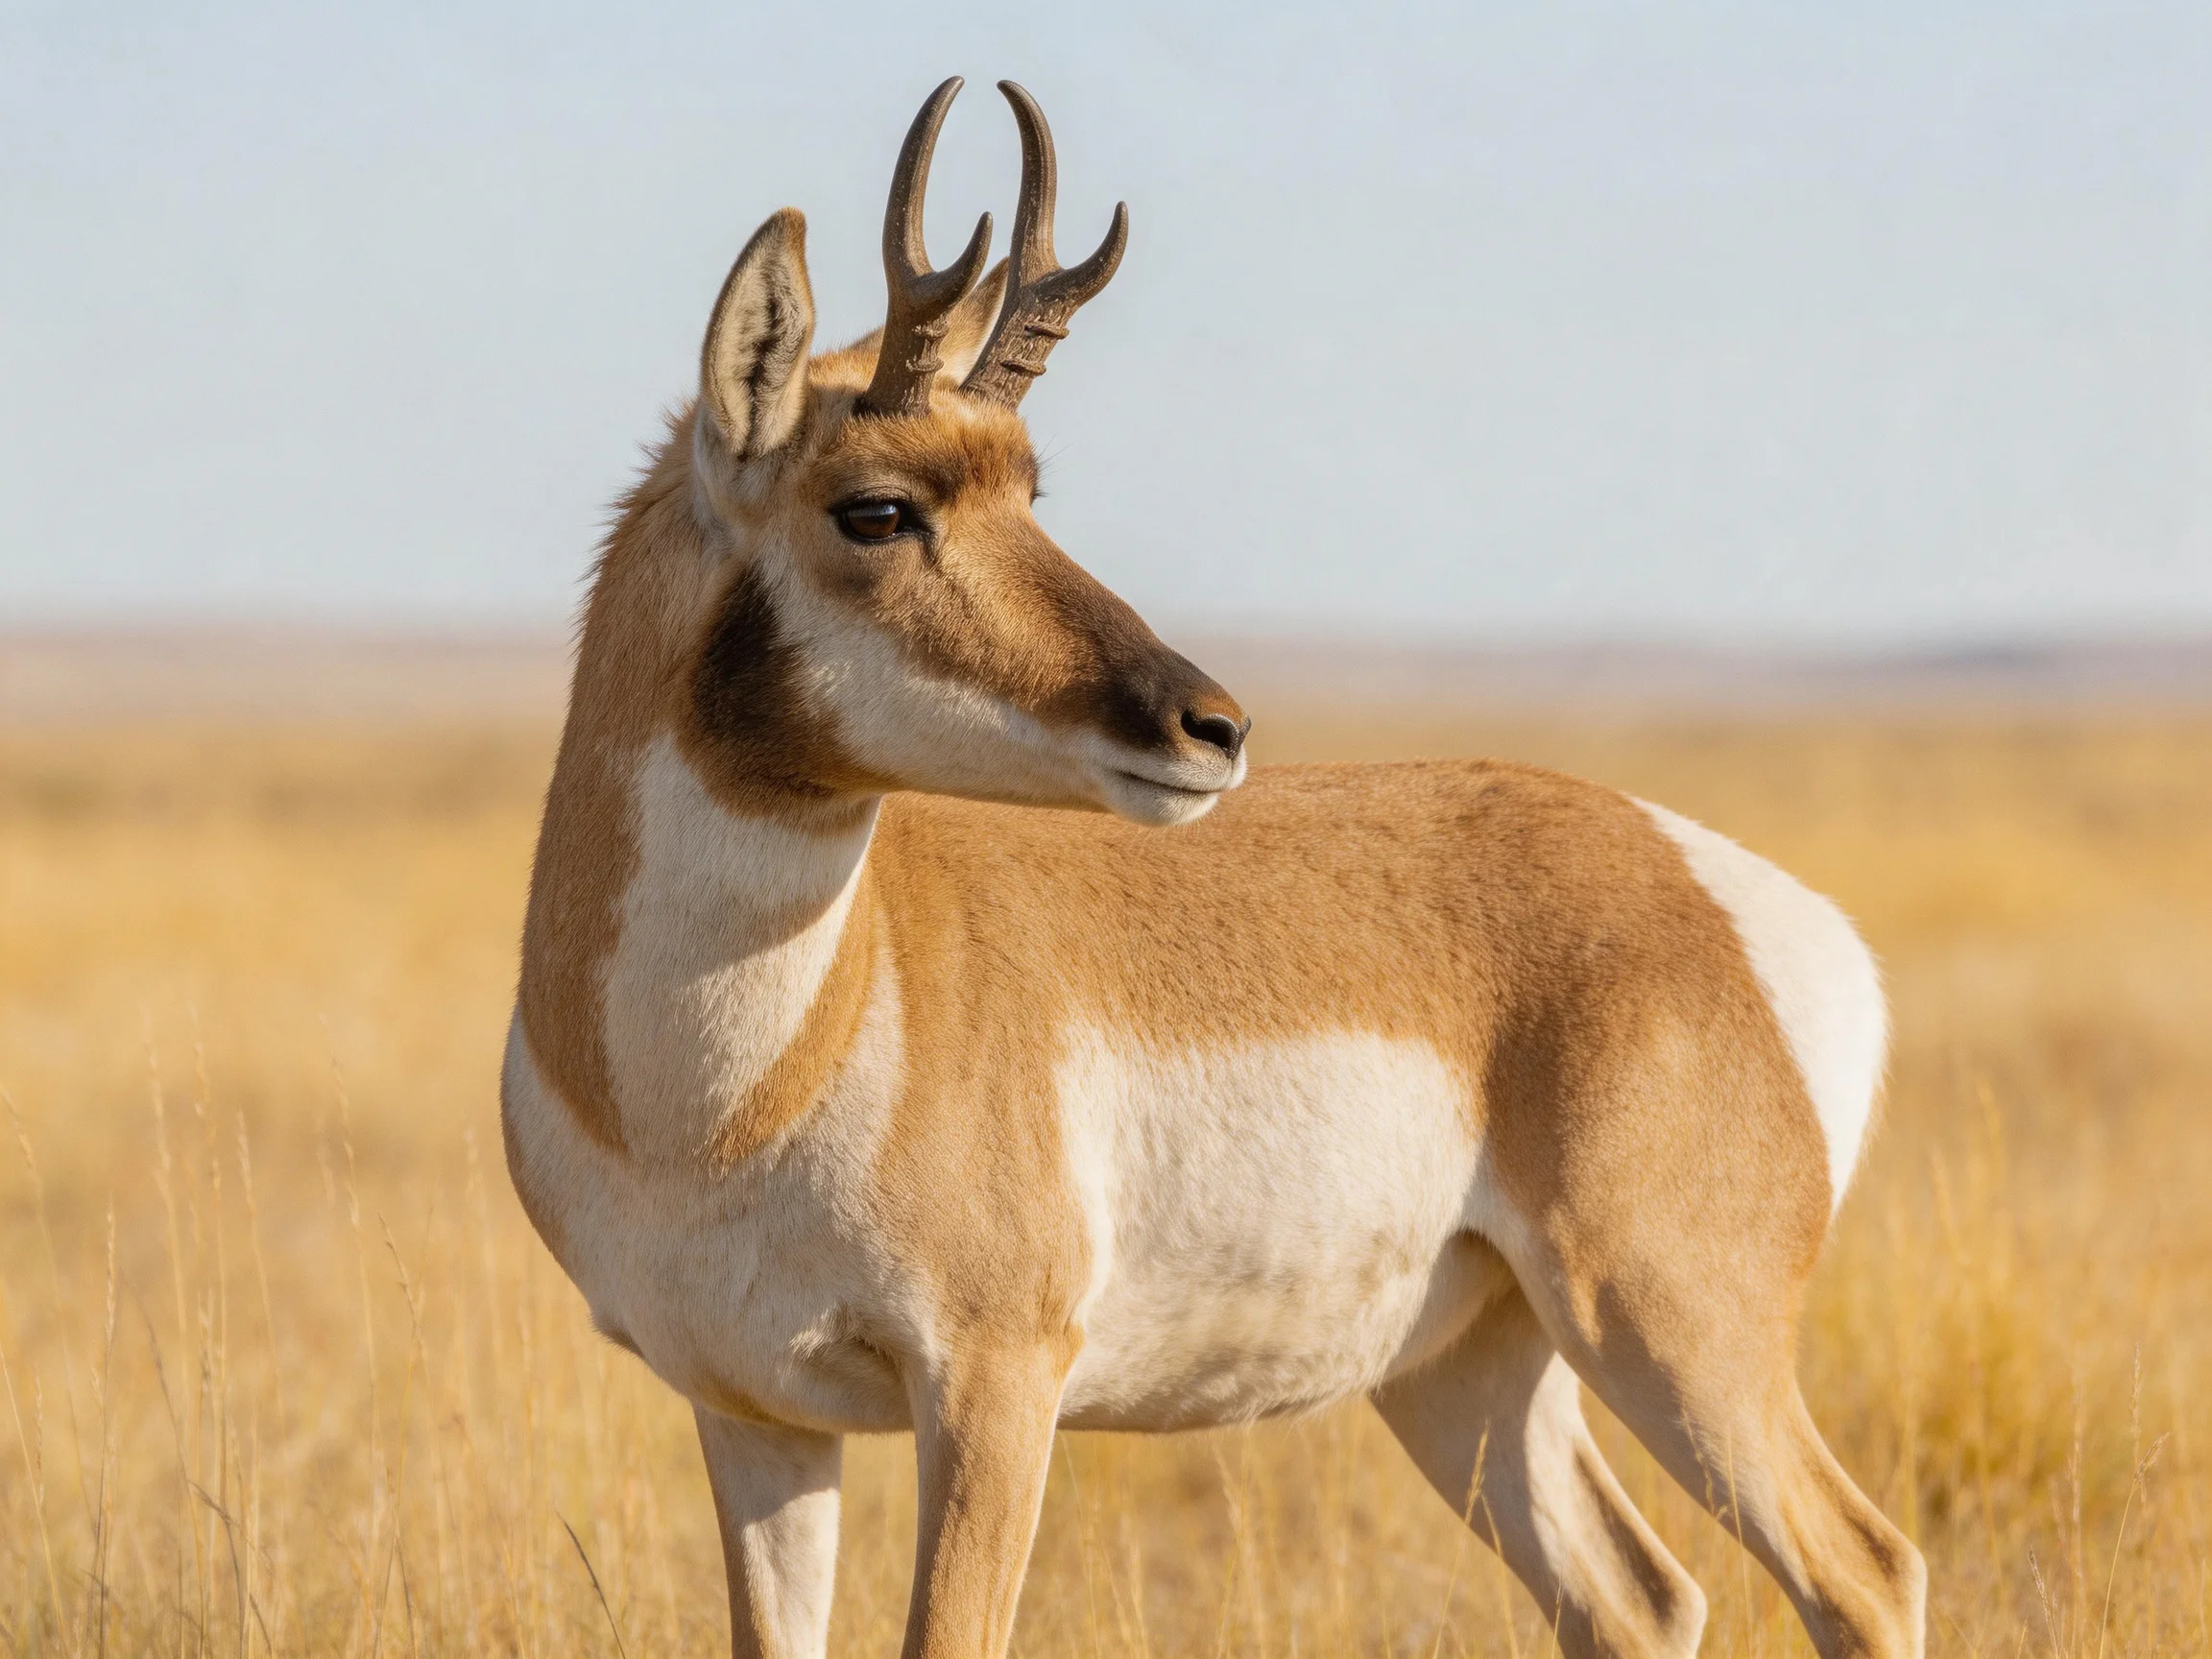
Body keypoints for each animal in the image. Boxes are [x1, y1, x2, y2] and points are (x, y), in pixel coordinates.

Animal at [503, 77, 1926, 1659]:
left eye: (1030, 490)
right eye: (875, 507)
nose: (1213, 726)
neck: (718, 1096)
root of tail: (1738, 897)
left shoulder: (993, 1388)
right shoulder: (753, 1416)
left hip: (1668, 1329)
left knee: (1864, 1568)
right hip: (1470, 1373)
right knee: (1639, 1595)